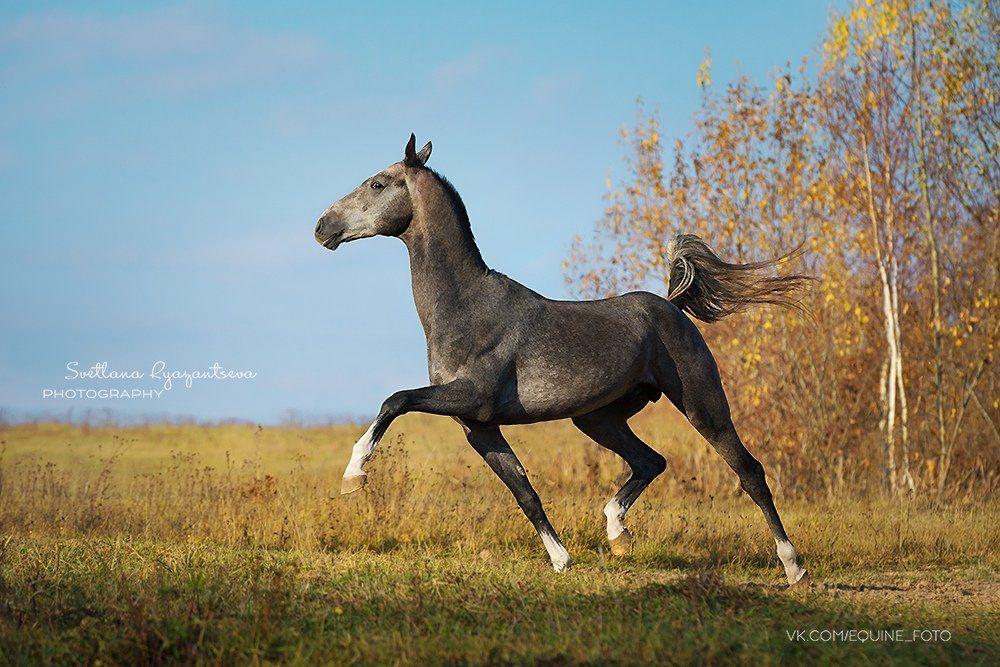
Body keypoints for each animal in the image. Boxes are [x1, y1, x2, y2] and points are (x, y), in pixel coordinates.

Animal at [312, 134, 812, 584]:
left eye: (377, 183)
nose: (321, 227)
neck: (465, 306)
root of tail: (672, 306)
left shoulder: (471, 398)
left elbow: (395, 400)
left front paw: (353, 474)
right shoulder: (479, 426)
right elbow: (524, 491)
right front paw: (561, 560)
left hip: (702, 406)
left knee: (749, 472)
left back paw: (794, 568)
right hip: (597, 419)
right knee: (650, 461)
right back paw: (617, 533)